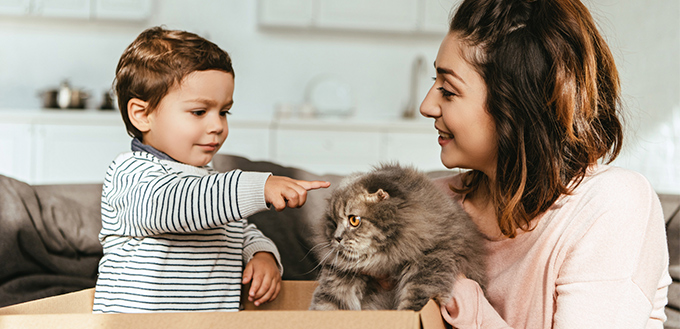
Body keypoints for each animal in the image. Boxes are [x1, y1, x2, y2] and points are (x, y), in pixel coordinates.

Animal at [308, 163, 484, 310]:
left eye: (354, 220)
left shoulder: (432, 259)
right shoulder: (341, 274)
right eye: (333, 223)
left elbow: (414, 300)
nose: (337, 238)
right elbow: (327, 304)